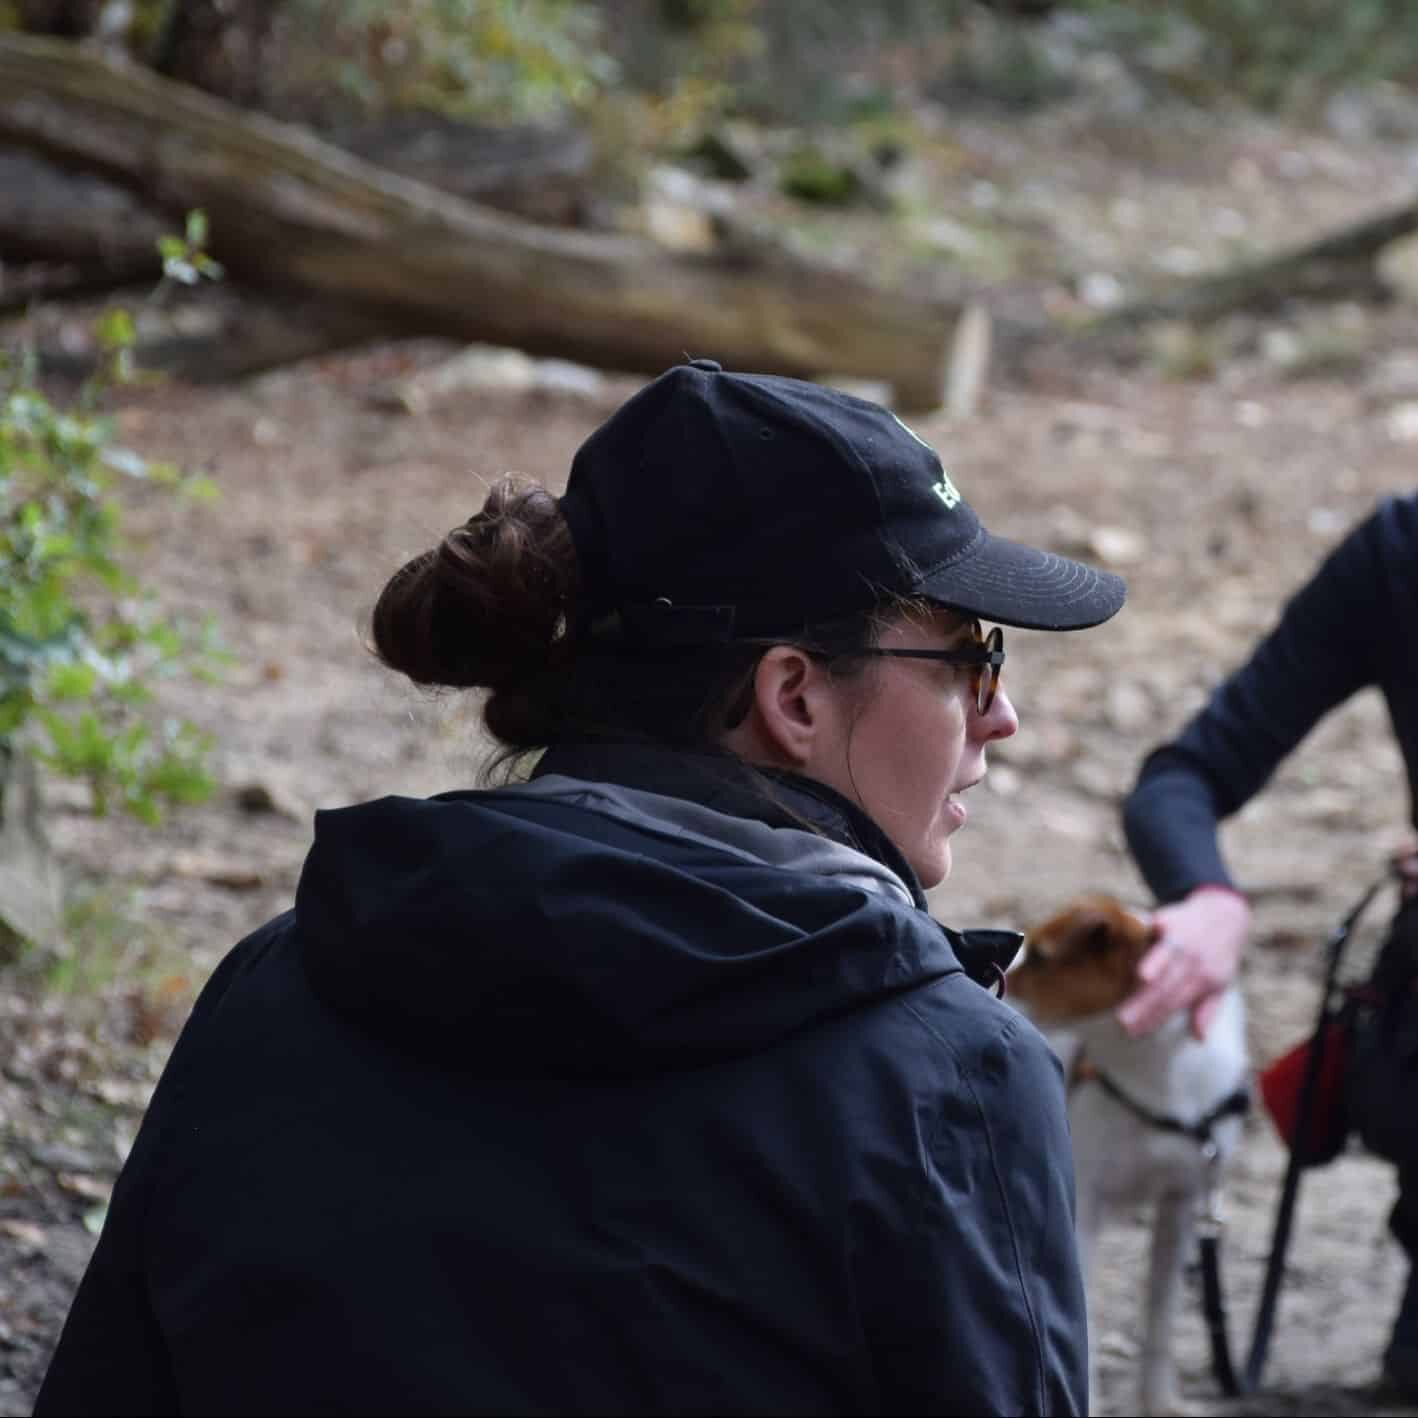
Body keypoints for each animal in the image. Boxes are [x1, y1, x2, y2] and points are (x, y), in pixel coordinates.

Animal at [1009, 896, 1253, 1418]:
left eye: (1040, 957)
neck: (1150, 1070)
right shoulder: (1083, 1211)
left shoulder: (1183, 1204)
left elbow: (1160, 1314)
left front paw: (1159, 1401)